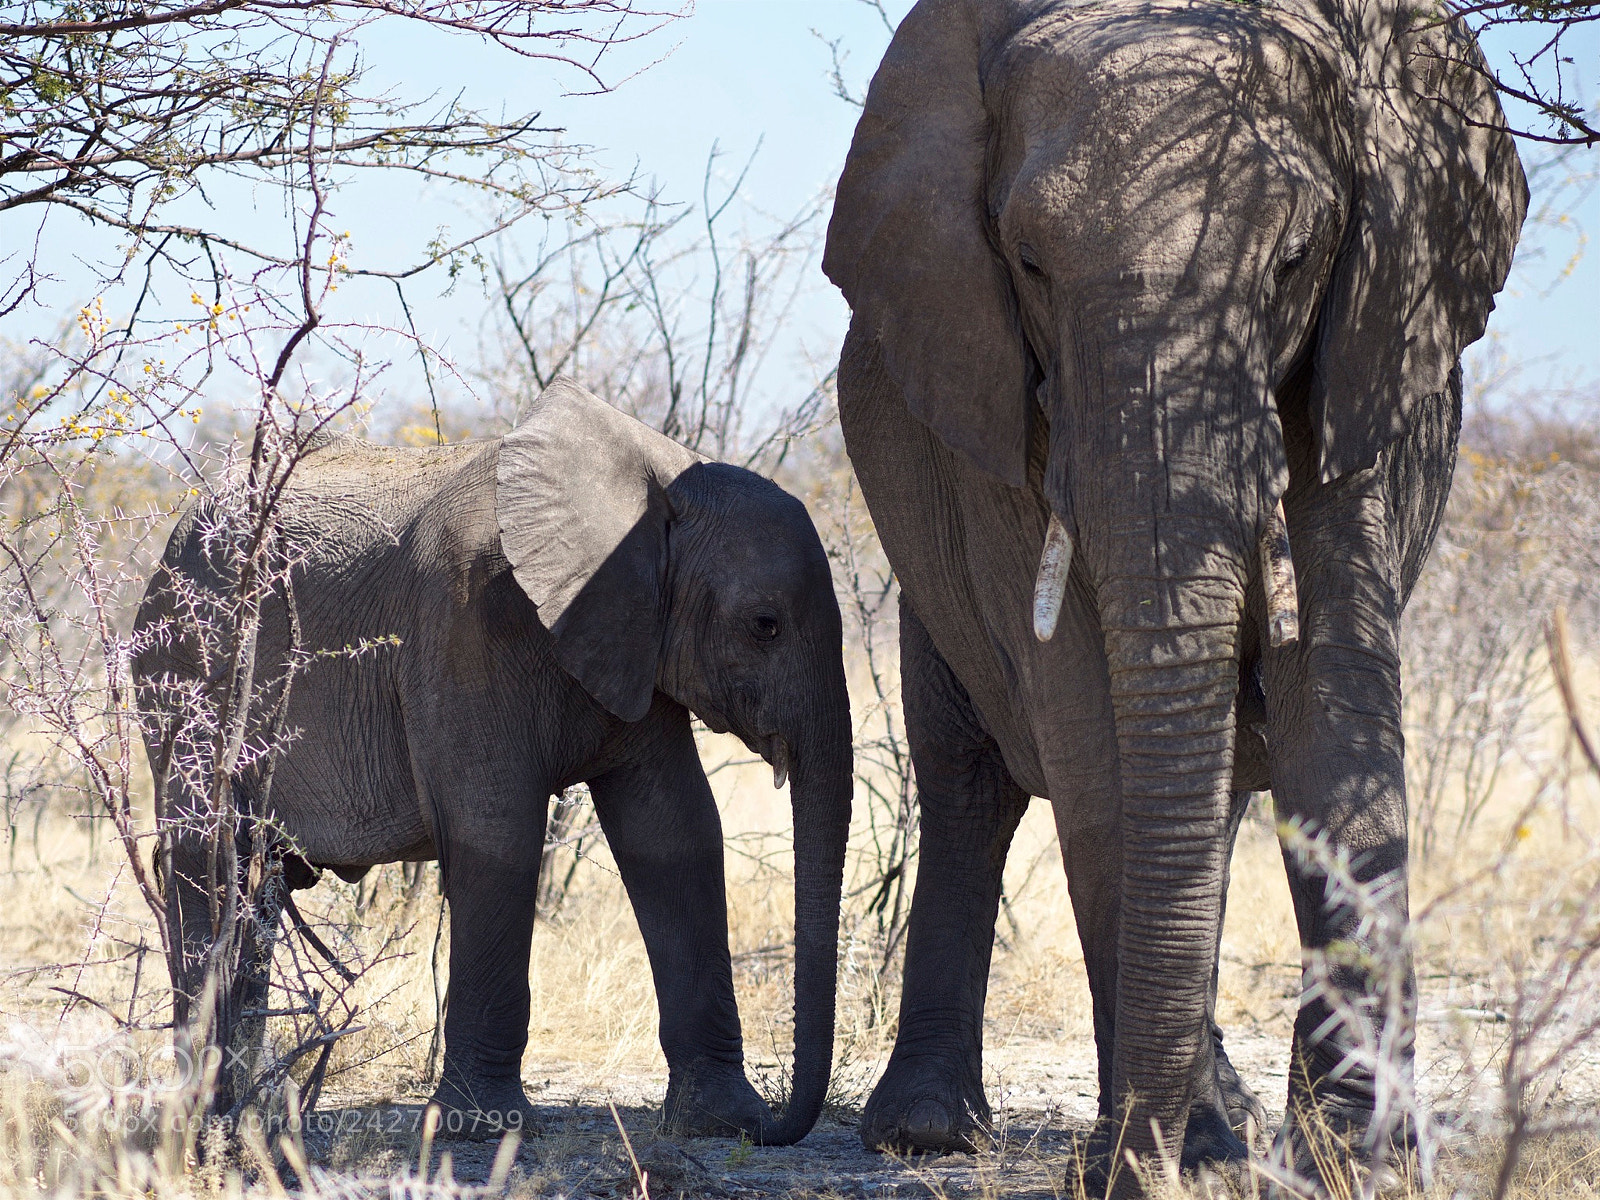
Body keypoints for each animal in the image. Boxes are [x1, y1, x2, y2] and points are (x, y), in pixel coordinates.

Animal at [133, 377, 852, 1145]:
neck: (653, 484)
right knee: (206, 860)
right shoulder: (464, 621)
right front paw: (483, 1129)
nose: (777, 1125)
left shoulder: (634, 639)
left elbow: (675, 833)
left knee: (251, 885)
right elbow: (498, 835)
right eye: (764, 626)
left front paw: (720, 1121)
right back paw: (205, 1118)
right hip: (181, 671)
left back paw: (238, 1115)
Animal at [823, 0, 1525, 1180]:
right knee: (972, 784)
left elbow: (1333, 715)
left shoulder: (1362, 366)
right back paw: (933, 1133)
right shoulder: (998, 408)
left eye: (1293, 261)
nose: (1111, 1169)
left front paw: (1354, 1160)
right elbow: (1090, 735)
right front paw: (1183, 1157)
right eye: (1026, 262)